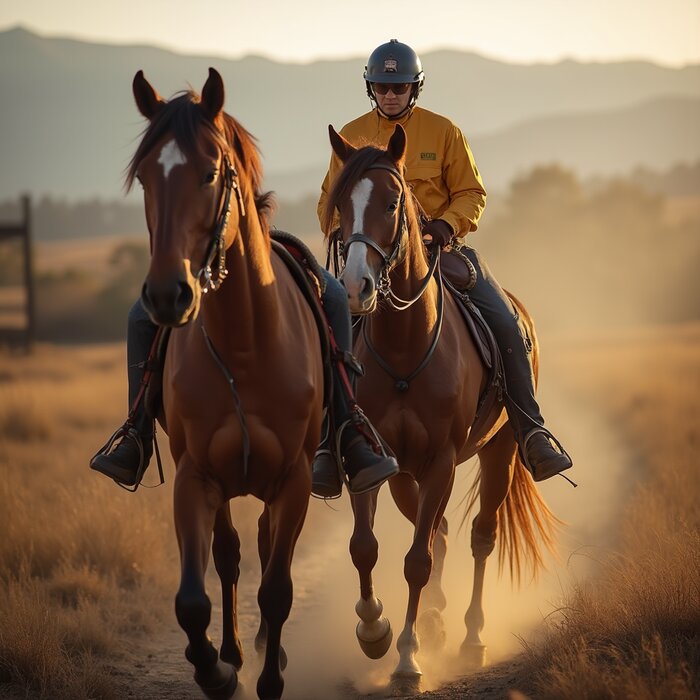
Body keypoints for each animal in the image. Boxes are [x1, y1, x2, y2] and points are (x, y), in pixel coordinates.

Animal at [130, 67, 324, 700]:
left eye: (210, 171)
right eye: (145, 176)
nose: (168, 294)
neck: (245, 343)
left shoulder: (294, 480)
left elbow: (278, 589)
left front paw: (270, 679)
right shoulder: (196, 477)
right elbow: (193, 598)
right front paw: (218, 672)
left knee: (261, 553)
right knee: (232, 556)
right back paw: (238, 650)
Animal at [326, 124, 560, 684]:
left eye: (391, 203)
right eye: (340, 203)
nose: (356, 287)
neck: (405, 347)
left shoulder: (442, 462)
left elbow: (417, 561)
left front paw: (408, 658)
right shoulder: (376, 460)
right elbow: (365, 547)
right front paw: (375, 629)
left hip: (500, 452)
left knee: (479, 536)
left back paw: (471, 638)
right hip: (408, 475)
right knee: (440, 533)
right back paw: (435, 621)